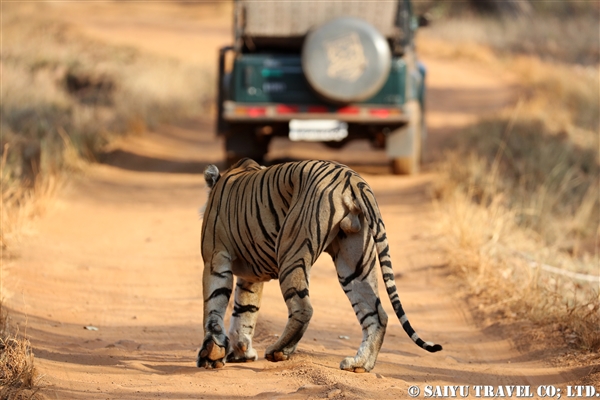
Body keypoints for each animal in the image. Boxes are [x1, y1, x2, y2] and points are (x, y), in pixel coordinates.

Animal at [197, 158, 440, 374]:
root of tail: (353, 178)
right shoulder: (251, 276)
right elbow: (245, 309)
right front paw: (240, 352)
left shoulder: (215, 258)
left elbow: (215, 305)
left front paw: (212, 354)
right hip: (354, 263)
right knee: (377, 314)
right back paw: (359, 364)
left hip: (291, 250)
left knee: (303, 308)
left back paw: (278, 351)